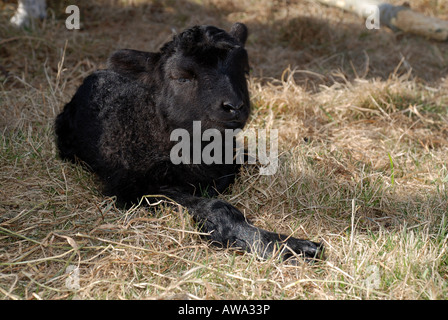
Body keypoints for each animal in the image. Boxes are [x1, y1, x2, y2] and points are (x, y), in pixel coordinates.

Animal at [54, 23, 322, 262]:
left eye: (244, 72)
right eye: (182, 78)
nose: (234, 106)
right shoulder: (131, 189)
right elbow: (216, 208)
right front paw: (285, 246)